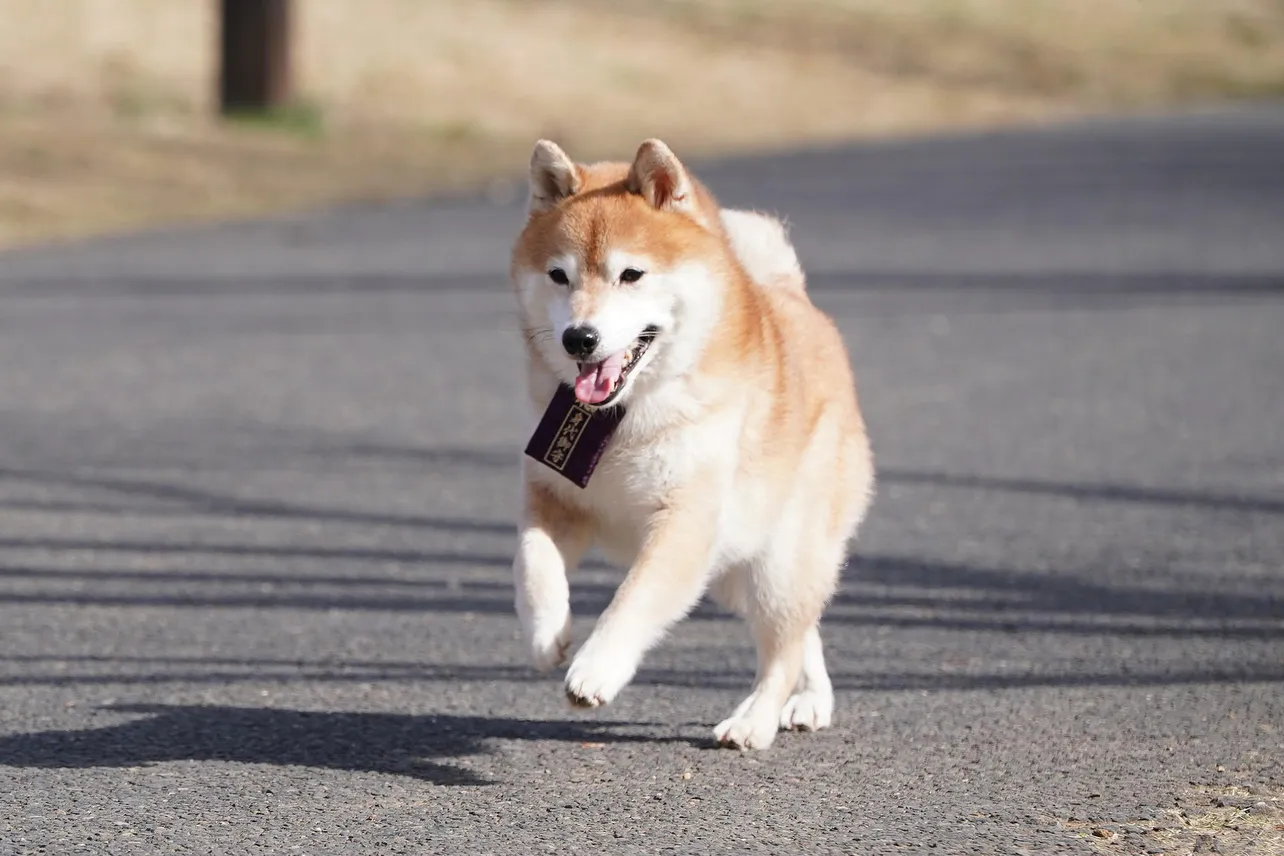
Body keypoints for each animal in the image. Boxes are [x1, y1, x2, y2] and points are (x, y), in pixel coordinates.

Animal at [508, 139, 873, 749]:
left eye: (631, 274)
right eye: (559, 276)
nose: (579, 338)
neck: (622, 417)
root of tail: (794, 299)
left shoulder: (685, 520)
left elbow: (634, 599)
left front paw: (596, 668)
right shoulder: (556, 499)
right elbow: (532, 564)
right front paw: (544, 634)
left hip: (777, 561)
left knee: (783, 646)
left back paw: (756, 719)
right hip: (735, 573)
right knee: (803, 632)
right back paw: (810, 699)